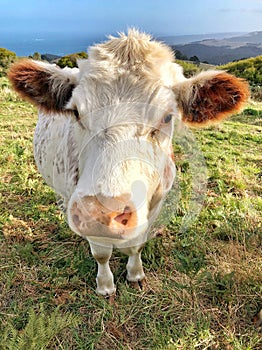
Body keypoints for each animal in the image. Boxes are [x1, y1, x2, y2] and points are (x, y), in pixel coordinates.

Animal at [8, 29, 250, 298]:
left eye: (167, 117)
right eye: (76, 112)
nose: (104, 212)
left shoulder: (156, 201)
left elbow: (137, 244)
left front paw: (135, 275)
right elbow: (101, 253)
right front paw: (105, 286)